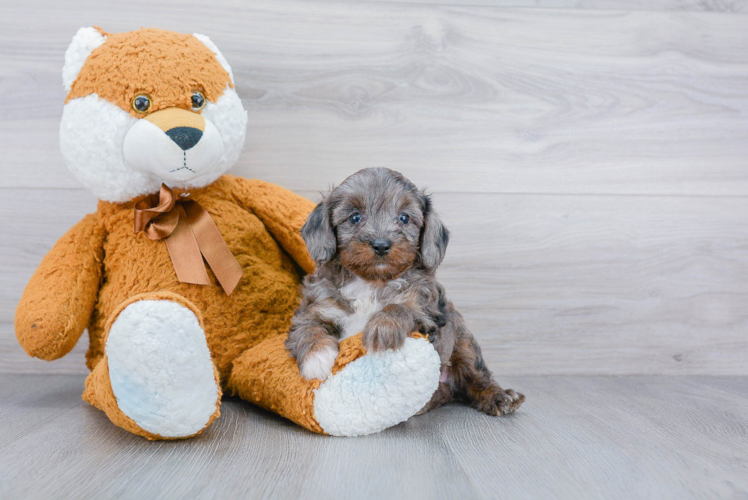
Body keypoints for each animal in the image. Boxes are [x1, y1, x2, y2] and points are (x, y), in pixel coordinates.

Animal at [286, 170, 524, 416]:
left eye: (404, 218)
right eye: (354, 218)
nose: (381, 245)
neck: (372, 282)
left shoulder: (425, 307)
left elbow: (400, 307)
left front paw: (382, 330)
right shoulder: (317, 307)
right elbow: (308, 328)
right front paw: (317, 359)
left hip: (463, 340)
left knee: (476, 376)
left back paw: (501, 397)